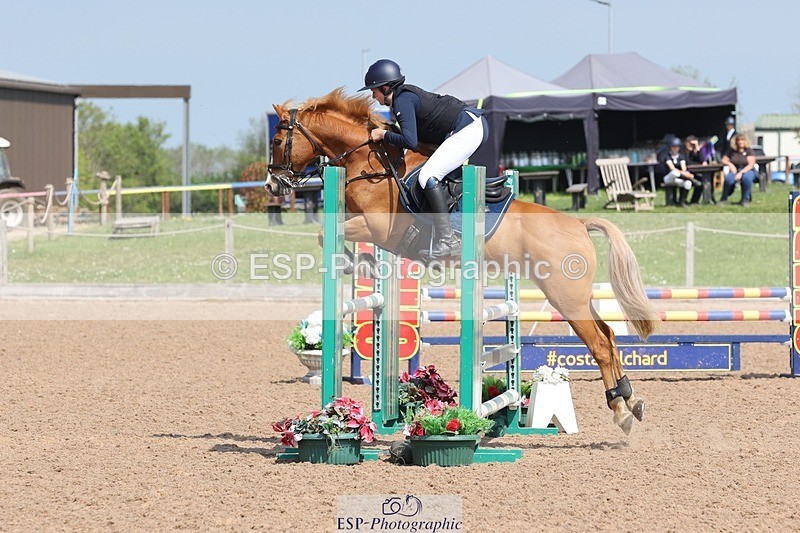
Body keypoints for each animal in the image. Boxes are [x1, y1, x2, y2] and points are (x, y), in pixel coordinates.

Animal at [266, 88, 659, 434]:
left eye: (276, 140)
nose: (272, 185)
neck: (370, 164)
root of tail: (579, 223)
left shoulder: (378, 228)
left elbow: (325, 233)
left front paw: (354, 262)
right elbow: (332, 236)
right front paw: (361, 263)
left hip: (566, 297)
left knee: (600, 345)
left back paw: (620, 410)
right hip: (578, 297)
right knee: (609, 336)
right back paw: (631, 400)